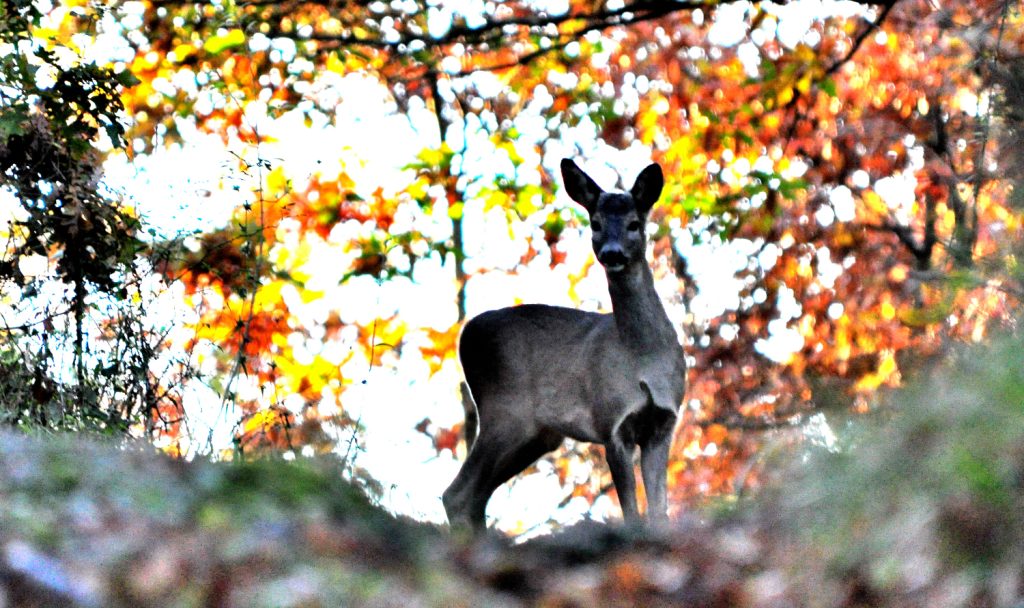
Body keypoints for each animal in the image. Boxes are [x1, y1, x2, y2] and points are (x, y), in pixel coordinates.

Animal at [442, 157, 688, 532]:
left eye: (634, 223)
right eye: (595, 223)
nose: (612, 253)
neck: (642, 357)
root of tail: (465, 335)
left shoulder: (663, 423)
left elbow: (659, 510)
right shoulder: (611, 421)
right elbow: (631, 511)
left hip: (536, 434)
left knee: (474, 496)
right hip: (505, 411)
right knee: (457, 494)